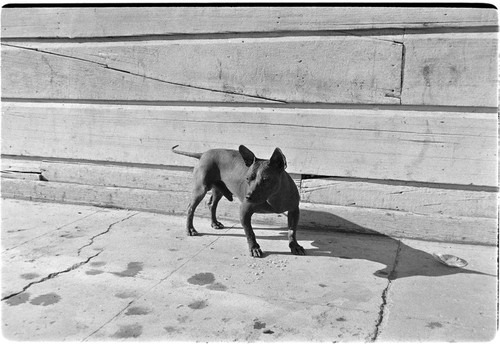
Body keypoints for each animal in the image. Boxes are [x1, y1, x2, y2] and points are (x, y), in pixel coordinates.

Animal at [172, 144, 304, 256]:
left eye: (266, 179)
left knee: (212, 205)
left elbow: (292, 231)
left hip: (218, 190)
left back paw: (214, 223)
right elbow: (250, 232)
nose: (248, 197)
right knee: (191, 208)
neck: (273, 197)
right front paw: (254, 248)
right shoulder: (244, 212)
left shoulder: (294, 211)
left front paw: (294, 246)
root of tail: (204, 153)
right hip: (201, 189)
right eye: (247, 178)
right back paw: (190, 229)